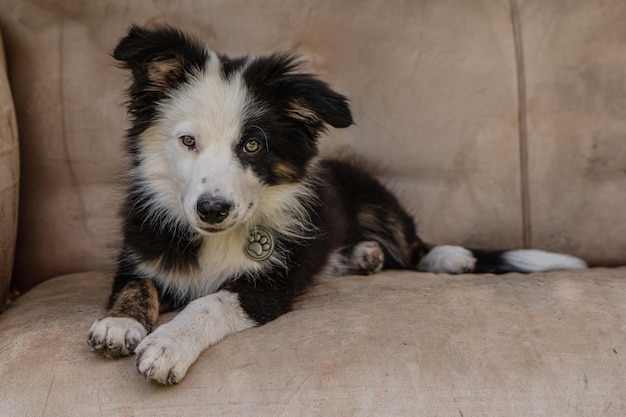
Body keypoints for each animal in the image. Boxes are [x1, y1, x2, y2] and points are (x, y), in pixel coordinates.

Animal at [85, 25, 584, 384]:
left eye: (252, 145)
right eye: (188, 141)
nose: (212, 210)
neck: (217, 240)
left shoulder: (271, 286)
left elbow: (210, 303)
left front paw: (168, 346)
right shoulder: (141, 251)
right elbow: (136, 285)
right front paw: (119, 325)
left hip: (376, 198)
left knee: (414, 246)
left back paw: (447, 257)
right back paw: (363, 256)